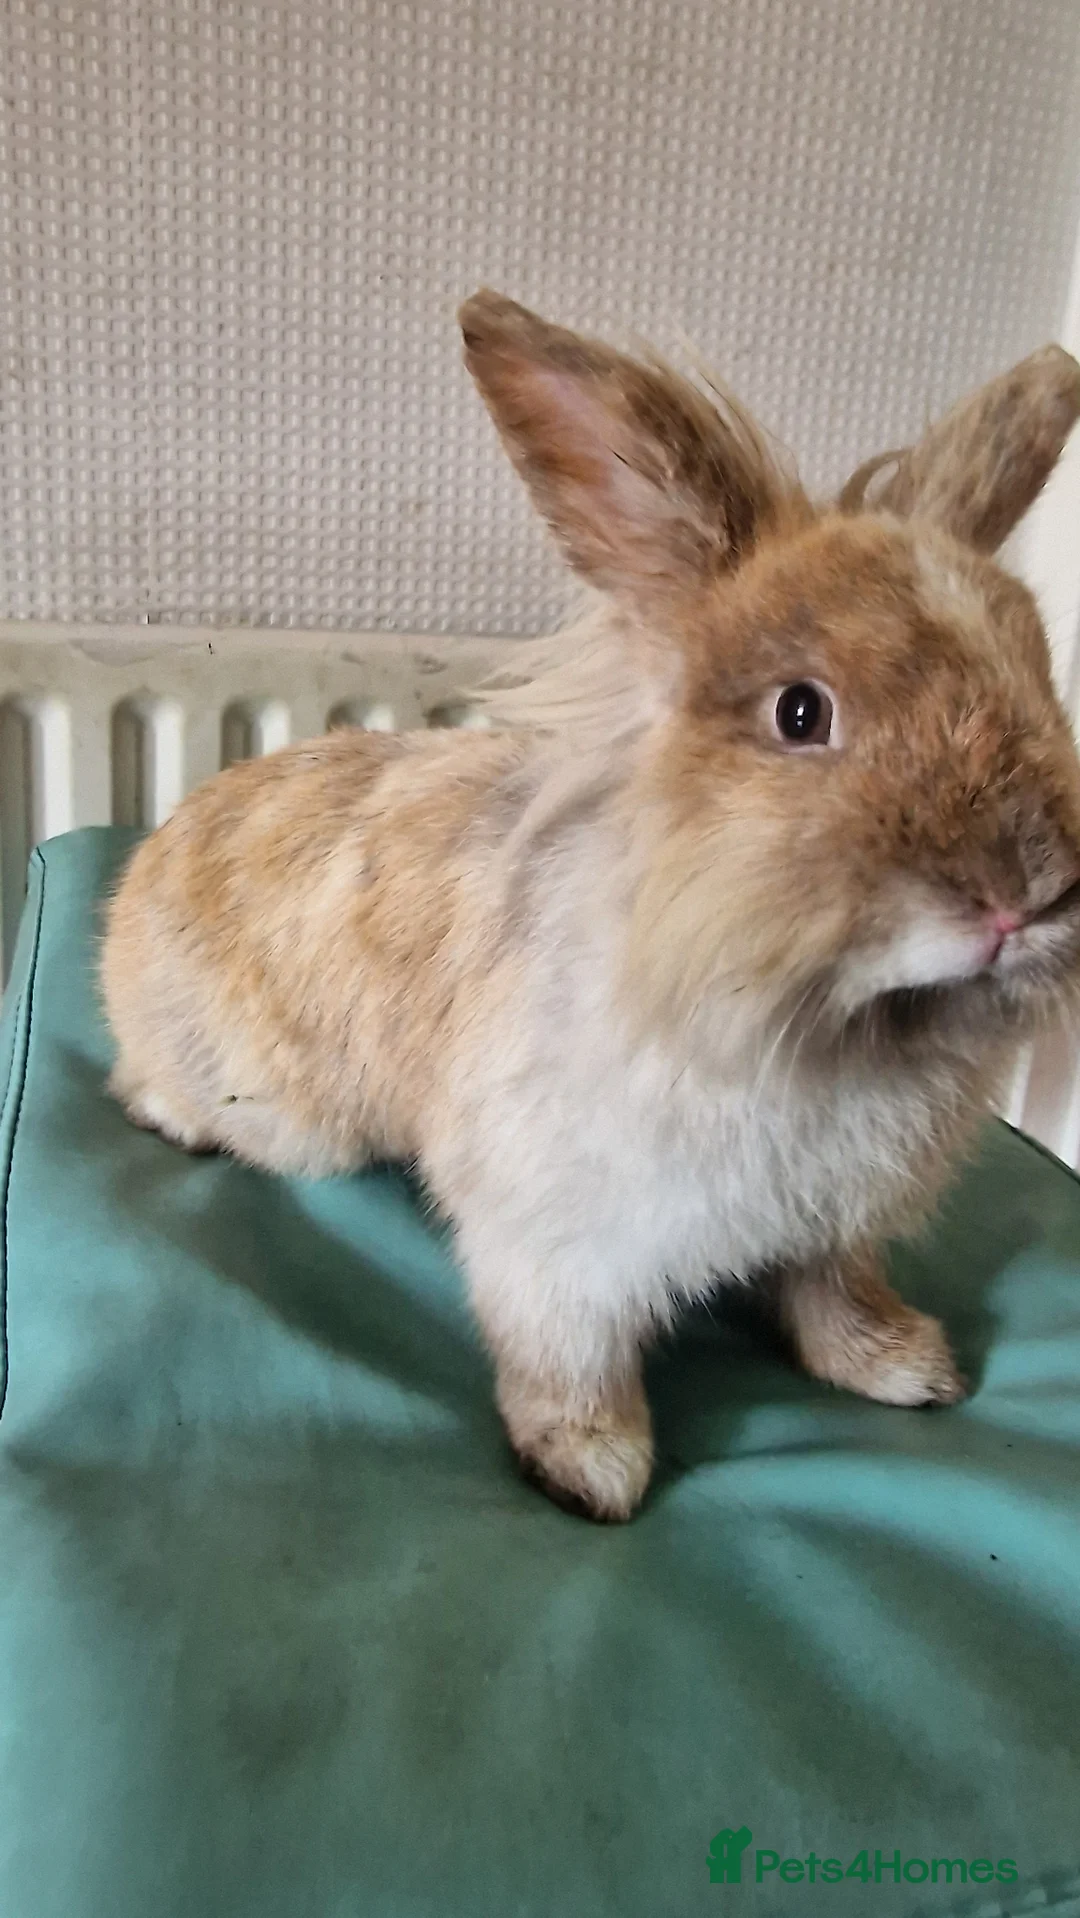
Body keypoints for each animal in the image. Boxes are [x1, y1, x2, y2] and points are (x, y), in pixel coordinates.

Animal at [101, 289, 1080, 1521]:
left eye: (1041, 678)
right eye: (800, 712)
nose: (1024, 894)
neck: (821, 1027)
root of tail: (141, 871)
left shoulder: (829, 1228)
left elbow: (832, 1299)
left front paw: (908, 1367)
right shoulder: (557, 1241)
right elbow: (569, 1356)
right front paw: (593, 1468)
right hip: (279, 1111)